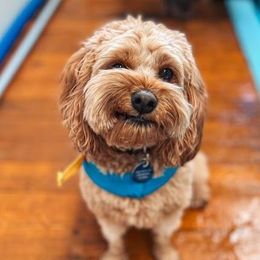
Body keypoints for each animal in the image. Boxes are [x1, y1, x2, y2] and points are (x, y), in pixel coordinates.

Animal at [59, 16, 209, 260]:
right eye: (118, 65)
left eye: (167, 73)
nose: (145, 100)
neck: (136, 155)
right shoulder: (108, 215)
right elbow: (115, 240)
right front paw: (115, 255)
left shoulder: (170, 213)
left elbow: (163, 238)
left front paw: (166, 253)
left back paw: (199, 194)